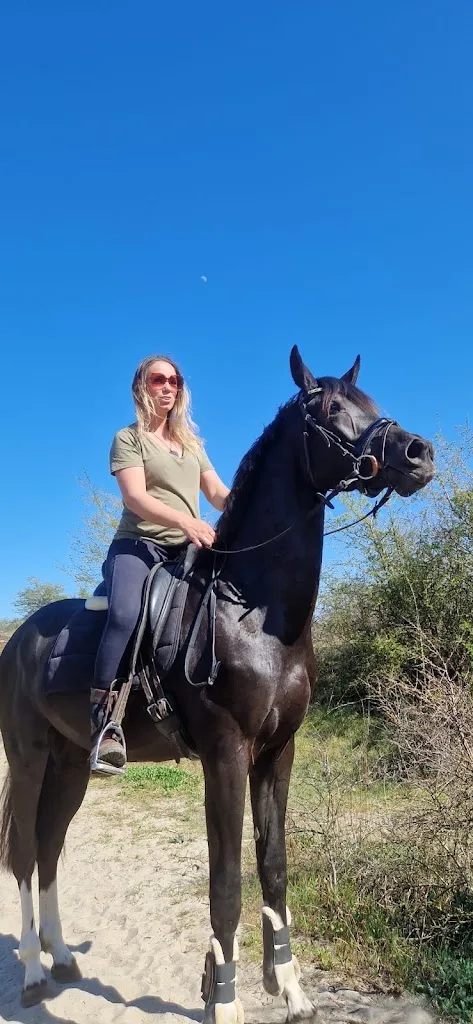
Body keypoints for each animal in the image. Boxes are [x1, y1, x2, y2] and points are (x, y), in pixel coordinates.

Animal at [0, 347, 435, 1022]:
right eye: (332, 408)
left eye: (370, 401)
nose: (419, 452)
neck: (251, 613)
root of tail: (20, 637)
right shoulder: (226, 755)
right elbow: (226, 885)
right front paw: (223, 997)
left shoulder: (278, 754)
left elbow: (274, 868)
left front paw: (291, 989)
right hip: (28, 760)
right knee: (24, 853)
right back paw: (31, 972)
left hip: (71, 764)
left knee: (49, 846)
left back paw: (62, 955)